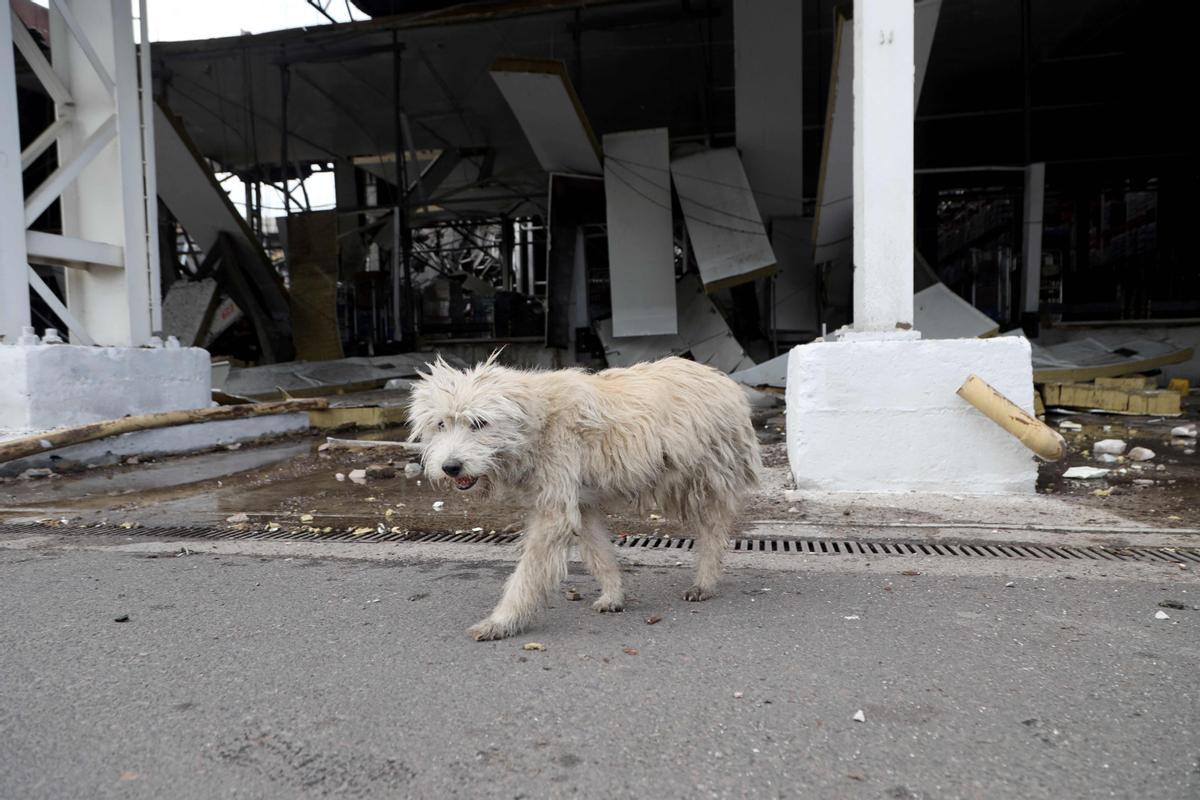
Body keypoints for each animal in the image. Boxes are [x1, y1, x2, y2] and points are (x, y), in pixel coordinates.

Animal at [405, 352, 758, 642]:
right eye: (440, 424)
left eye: (479, 423)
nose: (450, 467)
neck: (537, 420)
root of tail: (723, 379)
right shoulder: (581, 504)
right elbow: (600, 553)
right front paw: (614, 595)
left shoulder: (554, 513)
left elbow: (528, 574)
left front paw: (502, 621)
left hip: (702, 480)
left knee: (713, 533)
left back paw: (705, 582)